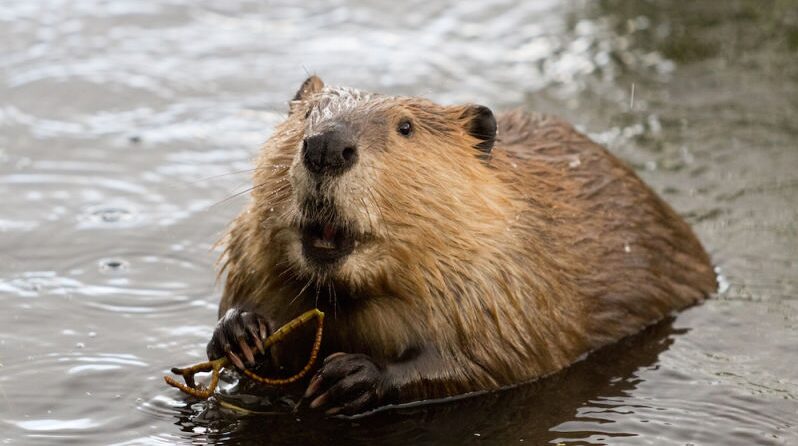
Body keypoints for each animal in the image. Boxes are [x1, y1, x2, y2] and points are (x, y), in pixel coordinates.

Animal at [206, 76, 720, 414]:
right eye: (309, 114)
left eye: (406, 127)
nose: (328, 147)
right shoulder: (249, 253)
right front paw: (240, 332)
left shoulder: (509, 278)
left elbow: (498, 359)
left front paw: (351, 376)